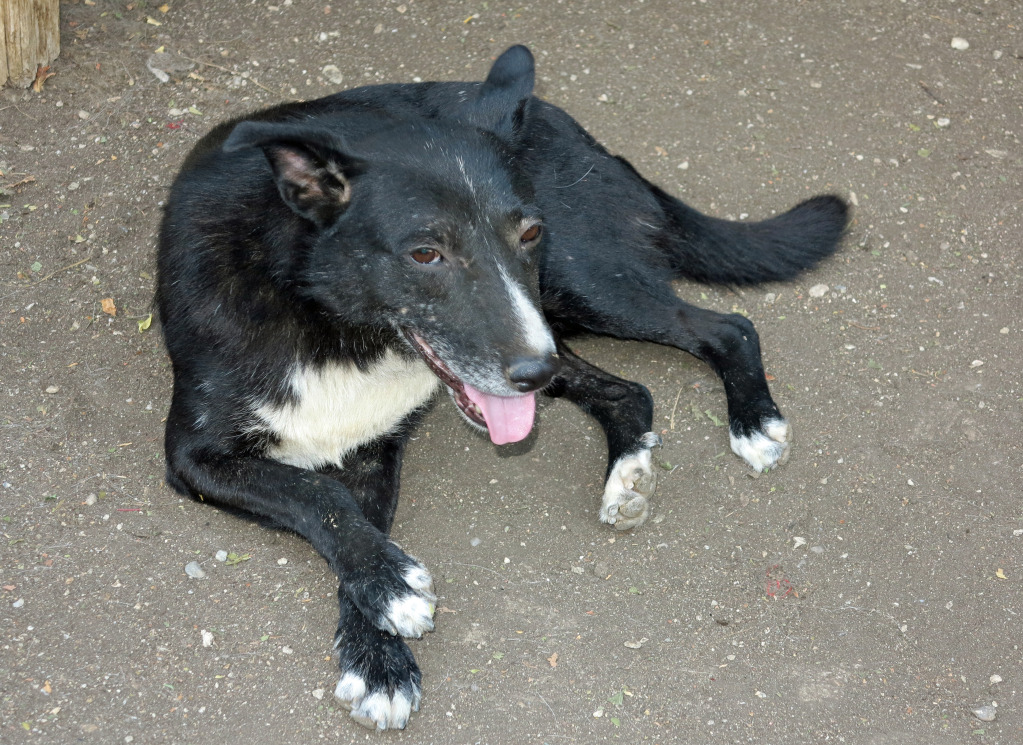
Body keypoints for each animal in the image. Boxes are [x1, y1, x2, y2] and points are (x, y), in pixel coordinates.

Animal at [157, 45, 847, 728]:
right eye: (425, 253)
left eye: (529, 232)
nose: (535, 374)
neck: (327, 318)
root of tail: (565, 121)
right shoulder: (194, 456)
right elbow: (320, 498)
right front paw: (387, 610)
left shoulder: (375, 450)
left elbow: (340, 506)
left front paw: (380, 642)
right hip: (556, 322)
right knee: (631, 390)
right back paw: (628, 470)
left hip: (575, 290)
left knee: (728, 328)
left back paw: (753, 421)